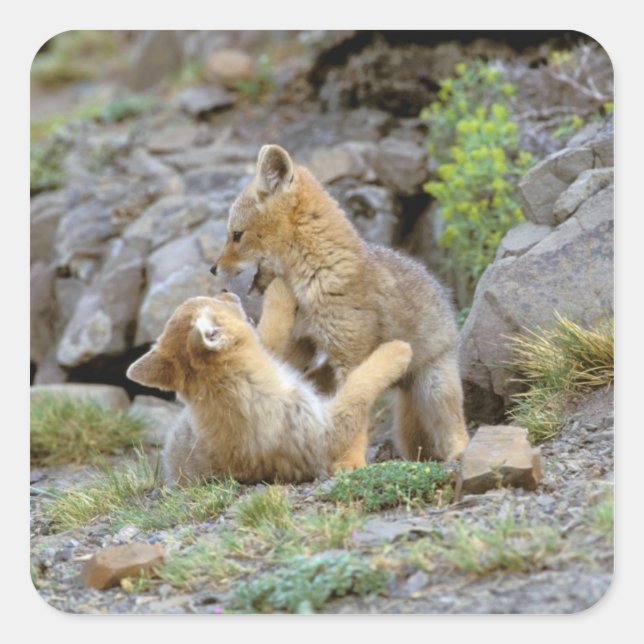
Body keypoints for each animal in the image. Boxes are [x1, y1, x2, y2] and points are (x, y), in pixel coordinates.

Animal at [126, 278, 412, 485]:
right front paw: (398, 351)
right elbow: (359, 386)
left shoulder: (283, 369)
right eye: (213, 302)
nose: (226, 290)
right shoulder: (322, 431)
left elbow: (274, 337)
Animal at [212, 144, 470, 465]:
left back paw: (458, 453)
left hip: (435, 389)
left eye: (236, 235)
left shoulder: (351, 357)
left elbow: (356, 408)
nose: (212, 269)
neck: (316, 276)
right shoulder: (301, 343)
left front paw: (349, 463)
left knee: (456, 426)